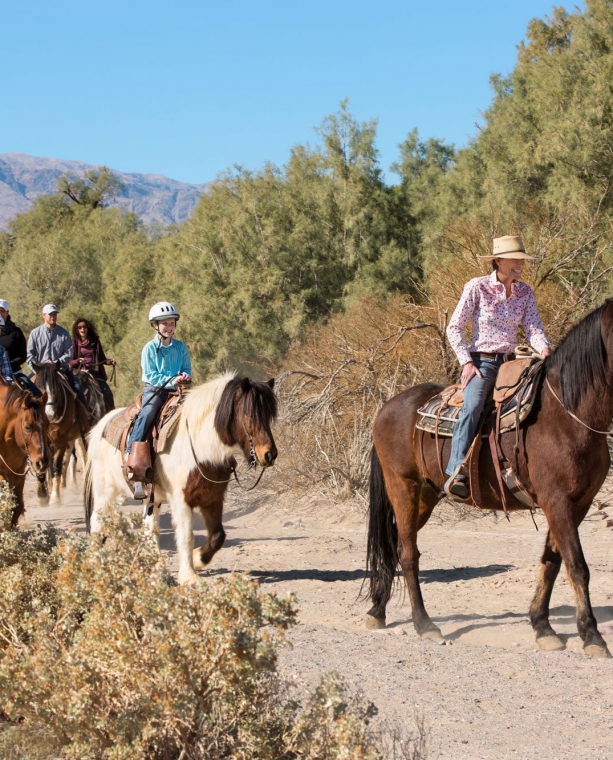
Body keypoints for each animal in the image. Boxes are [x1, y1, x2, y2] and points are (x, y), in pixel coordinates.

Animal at [32, 364, 89, 504]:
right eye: (38, 386)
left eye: (56, 387)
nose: (49, 414)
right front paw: (43, 496)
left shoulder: (61, 440)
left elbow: (56, 466)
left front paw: (55, 498)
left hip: (80, 435)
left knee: (83, 456)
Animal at [84, 372, 278, 580]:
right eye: (249, 415)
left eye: (269, 416)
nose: (269, 455)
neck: (201, 447)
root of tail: (98, 427)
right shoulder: (181, 500)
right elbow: (186, 536)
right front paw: (189, 577)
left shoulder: (213, 499)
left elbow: (218, 536)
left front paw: (198, 559)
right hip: (105, 492)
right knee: (97, 521)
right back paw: (96, 563)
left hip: (150, 498)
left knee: (150, 527)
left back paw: (156, 564)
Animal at [366, 300, 612, 656]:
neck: (567, 414)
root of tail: (386, 408)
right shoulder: (558, 502)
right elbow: (577, 566)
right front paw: (591, 635)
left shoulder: (577, 504)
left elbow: (552, 561)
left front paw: (542, 626)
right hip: (403, 486)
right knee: (408, 554)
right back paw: (424, 624)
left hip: (424, 496)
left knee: (395, 544)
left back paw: (377, 611)